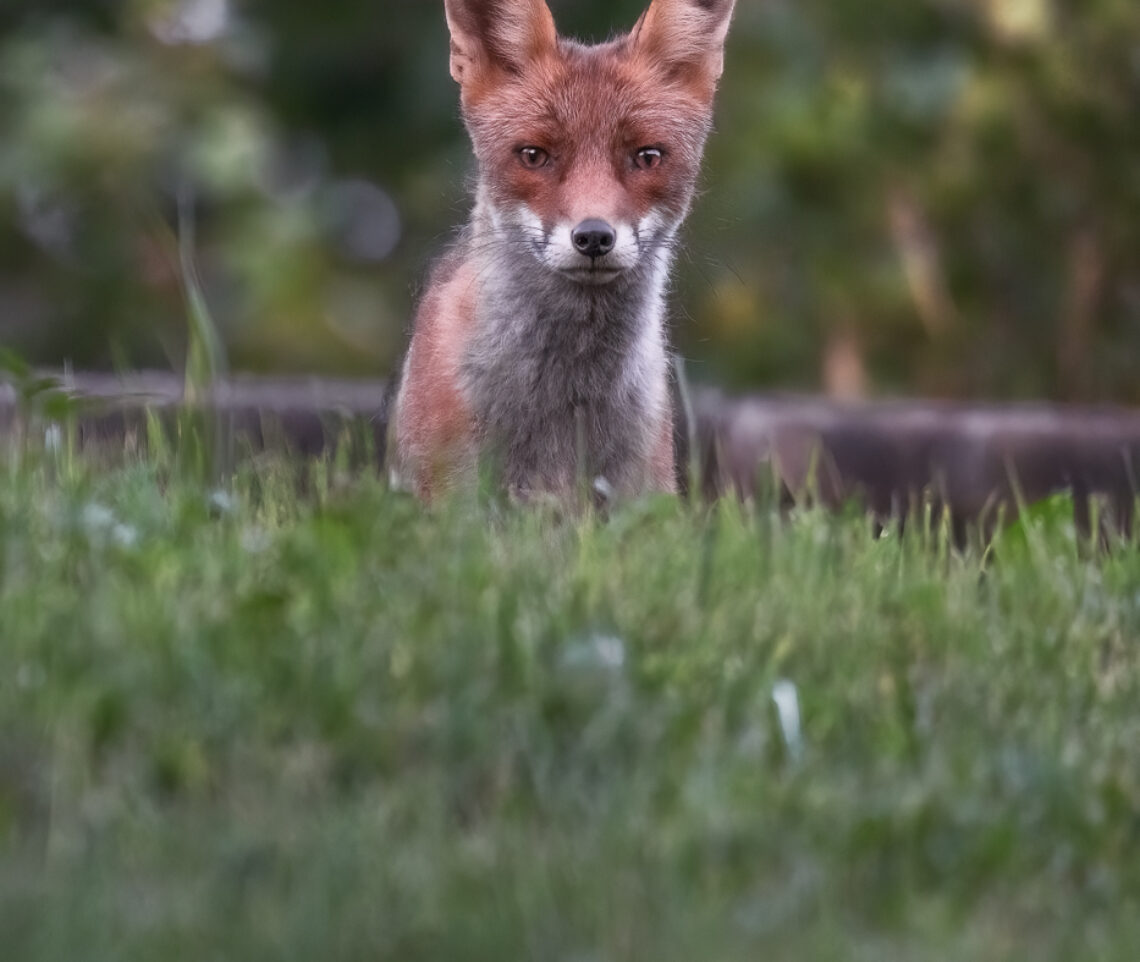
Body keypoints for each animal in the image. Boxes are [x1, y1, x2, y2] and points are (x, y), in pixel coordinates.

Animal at [387, 0, 734, 499]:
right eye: (534, 156)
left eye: (647, 157)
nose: (593, 237)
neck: (568, 399)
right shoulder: (454, 495)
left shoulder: (643, 493)